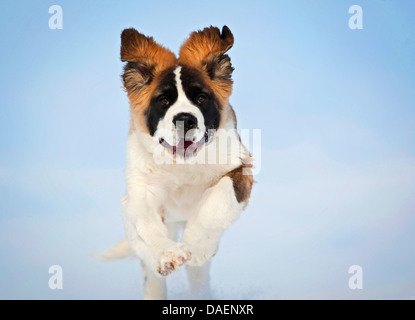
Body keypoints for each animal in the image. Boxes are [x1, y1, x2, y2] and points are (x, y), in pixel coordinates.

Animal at [99, 25, 255, 300]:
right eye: (163, 100)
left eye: (201, 98)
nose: (185, 119)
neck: (183, 165)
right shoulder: (140, 190)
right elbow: (147, 225)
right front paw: (167, 254)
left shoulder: (240, 170)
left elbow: (217, 201)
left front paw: (196, 244)